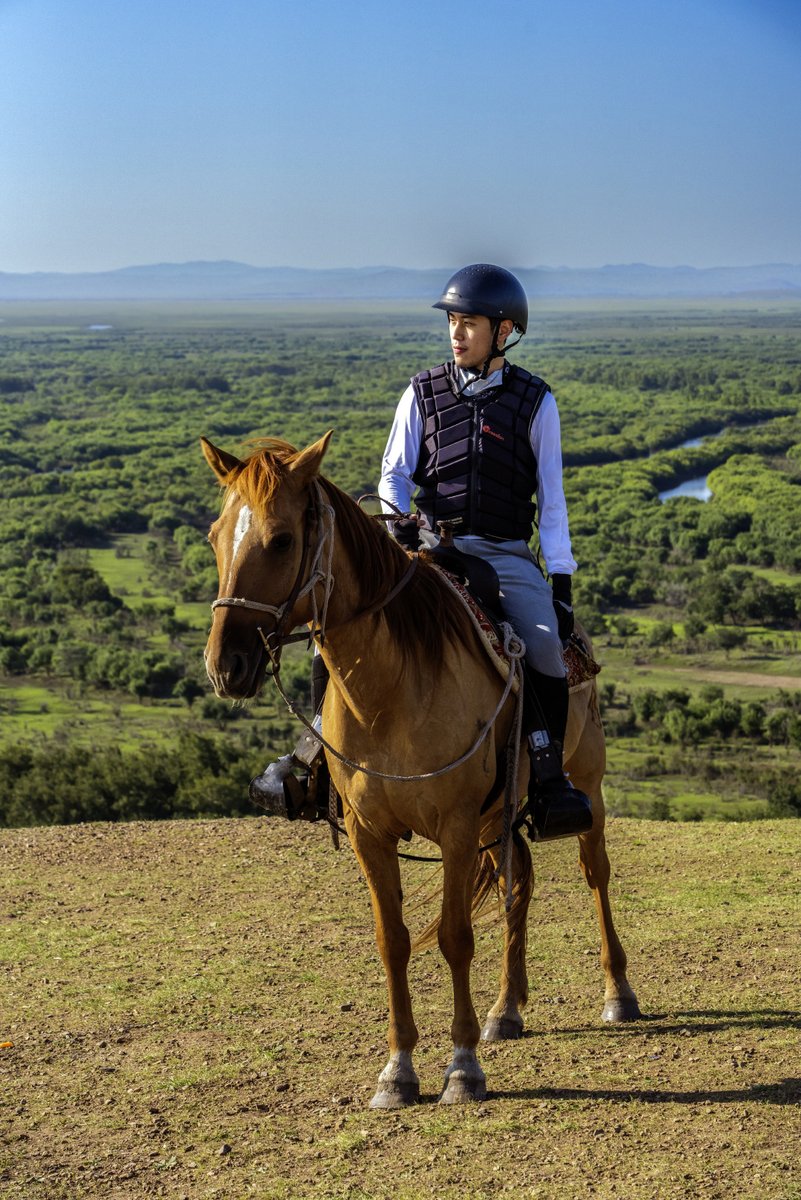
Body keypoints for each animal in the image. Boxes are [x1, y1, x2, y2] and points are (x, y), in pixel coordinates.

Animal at [201, 431, 640, 1107]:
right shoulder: (370, 834)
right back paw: (506, 1010)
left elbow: (455, 936)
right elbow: (394, 941)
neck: (392, 690)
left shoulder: (456, 828)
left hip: (584, 785)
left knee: (595, 873)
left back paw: (618, 994)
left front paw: (462, 1067)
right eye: (215, 535)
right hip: (500, 815)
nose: (226, 665)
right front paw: (398, 1070)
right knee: (517, 887)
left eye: (280, 540)